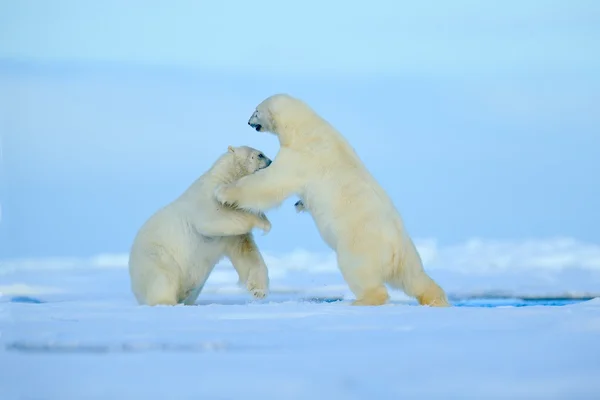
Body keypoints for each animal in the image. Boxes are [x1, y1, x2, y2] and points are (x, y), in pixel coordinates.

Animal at [131, 145, 274, 304]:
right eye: (260, 154)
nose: (270, 161)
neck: (224, 177)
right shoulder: (206, 199)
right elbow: (212, 219)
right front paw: (263, 222)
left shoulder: (232, 236)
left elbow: (247, 253)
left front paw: (259, 291)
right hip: (156, 255)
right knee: (163, 277)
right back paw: (165, 302)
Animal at [216, 93, 450, 306]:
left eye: (256, 111)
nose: (248, 122)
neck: (305, 128)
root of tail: (395, 248)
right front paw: (300, 204)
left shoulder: (300, 157)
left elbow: (269, 183)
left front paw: (222, 192)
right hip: (409, 255)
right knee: (416, 278)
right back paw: (436, 299)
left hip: (360, 244)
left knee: (359, 271)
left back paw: (360, 301)